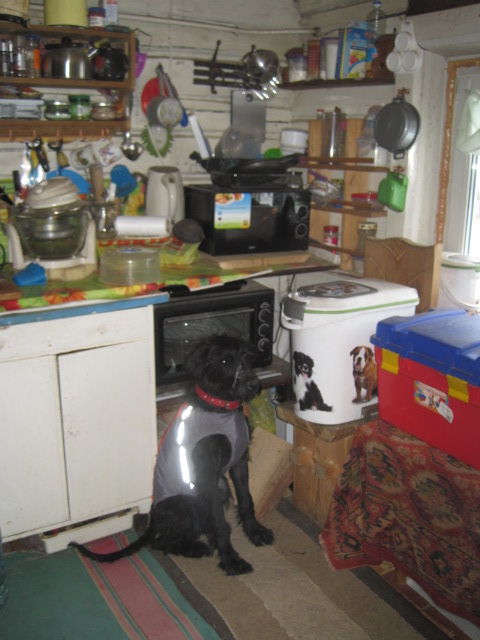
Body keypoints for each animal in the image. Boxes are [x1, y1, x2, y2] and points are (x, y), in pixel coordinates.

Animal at [69, 335, 273, 576]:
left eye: (247, 358)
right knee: (162, 542)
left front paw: (255, 532)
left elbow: (246, 500)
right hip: (190, 503)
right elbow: (219, 521)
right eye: (225, 362)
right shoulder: (207, 475)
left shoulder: (239, 462)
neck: (221, 408)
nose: (254, 385)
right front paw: (231, 560)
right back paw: (196, 548)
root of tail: (154, 519)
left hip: (220, 486)